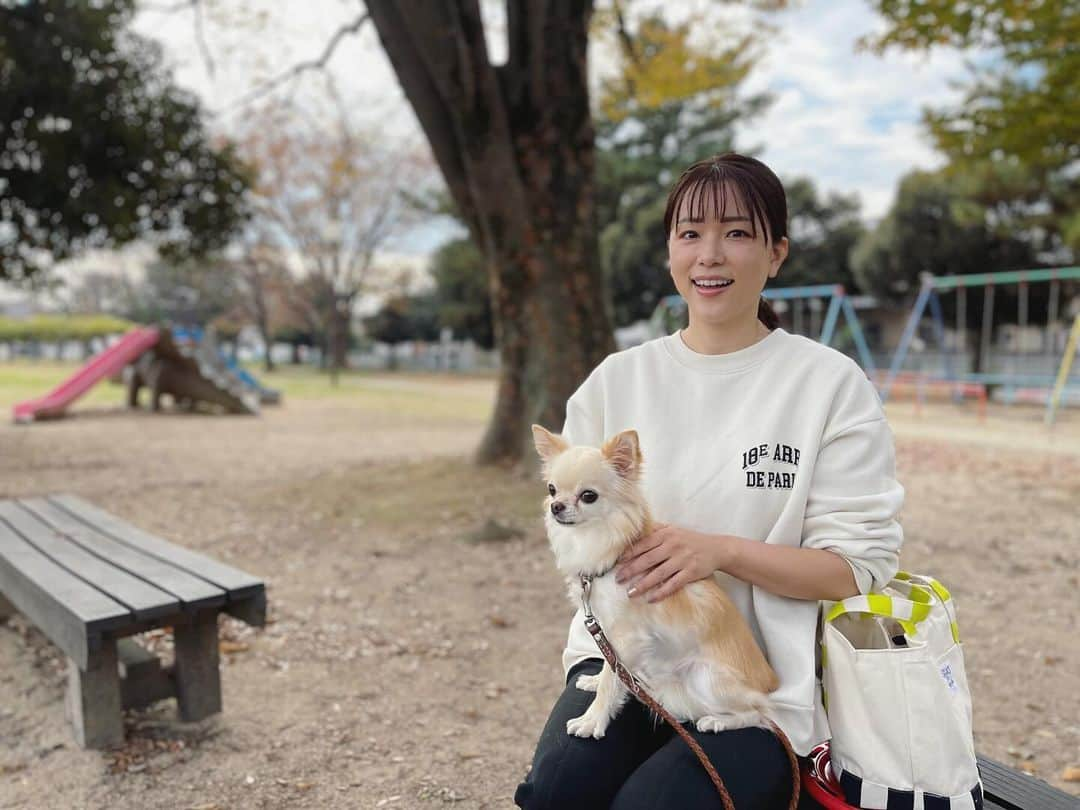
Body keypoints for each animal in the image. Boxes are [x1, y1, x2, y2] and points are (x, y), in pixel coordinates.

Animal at [529, 425, 777, 743]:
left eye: (588, 496)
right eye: (551, 489)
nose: (556, 506)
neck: (600, 543)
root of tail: (769, 682)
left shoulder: (626, 635)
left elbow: (612, 679)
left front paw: (592, 720)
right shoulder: (606, 628)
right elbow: (609, 665)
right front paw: (595, 681)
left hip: (705, 678)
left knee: (761, 714)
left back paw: (717, 721)